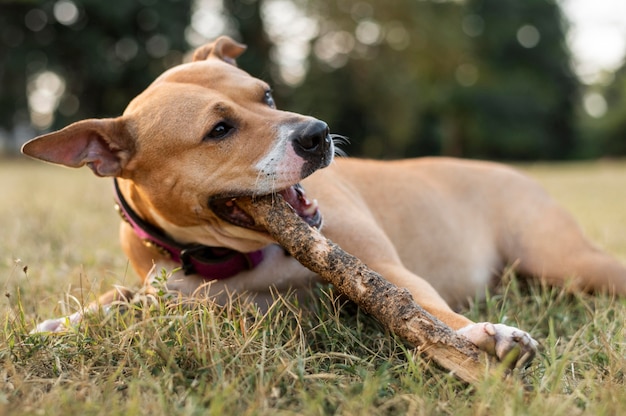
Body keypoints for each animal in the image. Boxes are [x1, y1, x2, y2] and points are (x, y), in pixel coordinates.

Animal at [19, 35, 624, 368]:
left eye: (265, 94)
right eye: (219, 129)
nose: (317, 133)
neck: (234, 256)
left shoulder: (382, 270)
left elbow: (423, 307)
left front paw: (486, 336)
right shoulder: (181, 294)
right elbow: (121, 298)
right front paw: (65, 322)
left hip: (563, 258)